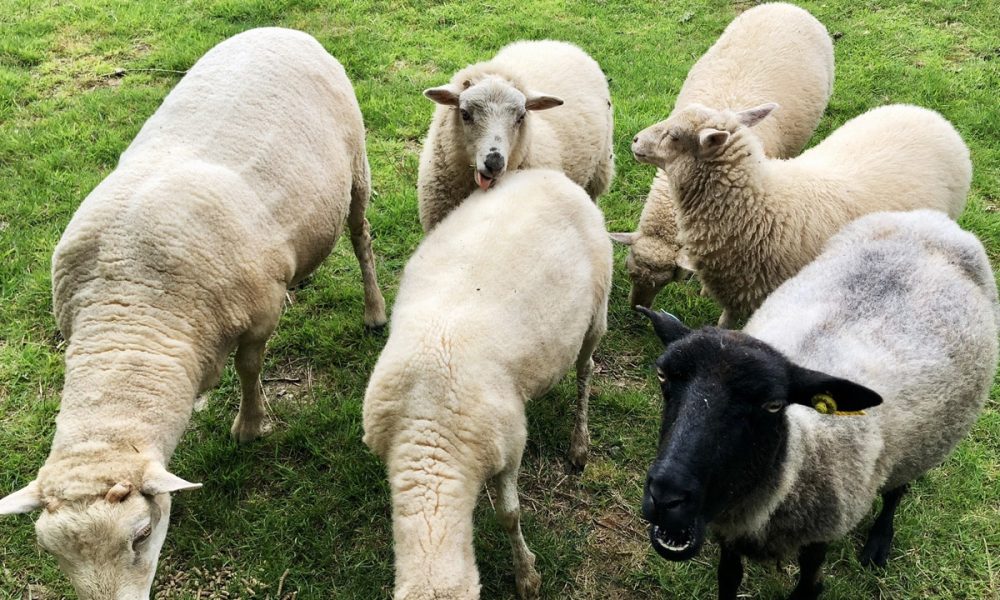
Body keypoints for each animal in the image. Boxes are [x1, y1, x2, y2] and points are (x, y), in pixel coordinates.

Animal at [0, 27, 386, 599]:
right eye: (52, 554)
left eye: (141, 535)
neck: (130, 309)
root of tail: (280, 28)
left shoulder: (258, 315)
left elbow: (248, 369)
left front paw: (249, 425)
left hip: (356, 167)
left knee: (361, 240)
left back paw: (375, 310)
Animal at [363, 169, 612, 599]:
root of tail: (554, 176)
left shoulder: (508, 448)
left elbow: (509, 515)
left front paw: (527, 575)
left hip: (597, 311)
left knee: (586, 370)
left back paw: (579, 443)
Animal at [631, 102, 971, 328]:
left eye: (674, 135)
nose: (634, 140)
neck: (759, 205)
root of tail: (931, 116)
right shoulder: (734, 286)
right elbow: (725, 320)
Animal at [636, 209, 998, 599]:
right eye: (663, 377)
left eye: (773, 405)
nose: (666, 497)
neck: (802, 449)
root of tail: (936, 221)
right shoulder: (728, 533)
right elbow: (728, 577)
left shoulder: (820, 533)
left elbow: (809, 583)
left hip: (925, 440)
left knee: (896, 490)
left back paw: (879, 542)